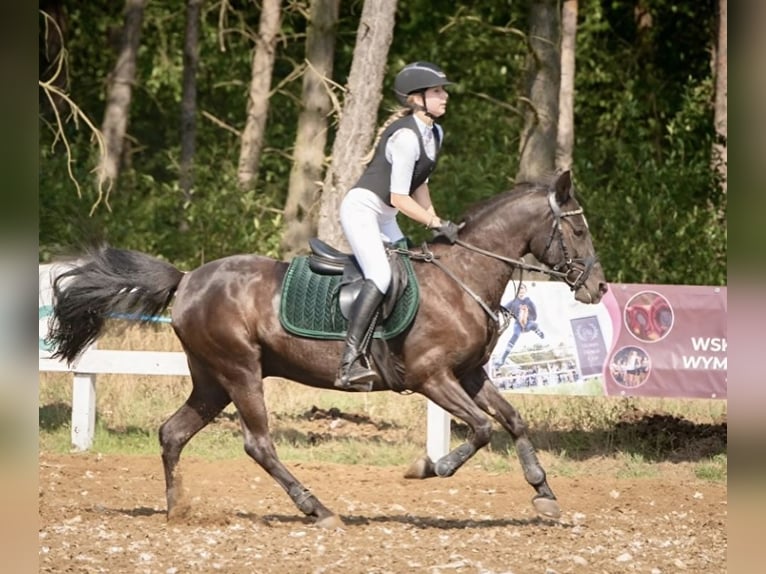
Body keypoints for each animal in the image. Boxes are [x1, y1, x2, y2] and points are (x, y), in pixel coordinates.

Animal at [49, 170, 612, 532]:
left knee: (173, 433)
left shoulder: (470, 375)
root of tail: (187, 279)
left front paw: (544, 495)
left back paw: (177, 511)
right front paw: (425, 469)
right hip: (240, 372)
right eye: (579, 228)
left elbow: (513, 420)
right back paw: (317, 510)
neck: (463, 277)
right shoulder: (432, 377)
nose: (599, 288)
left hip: (212, 381)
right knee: (259, 445)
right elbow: (480, 429)